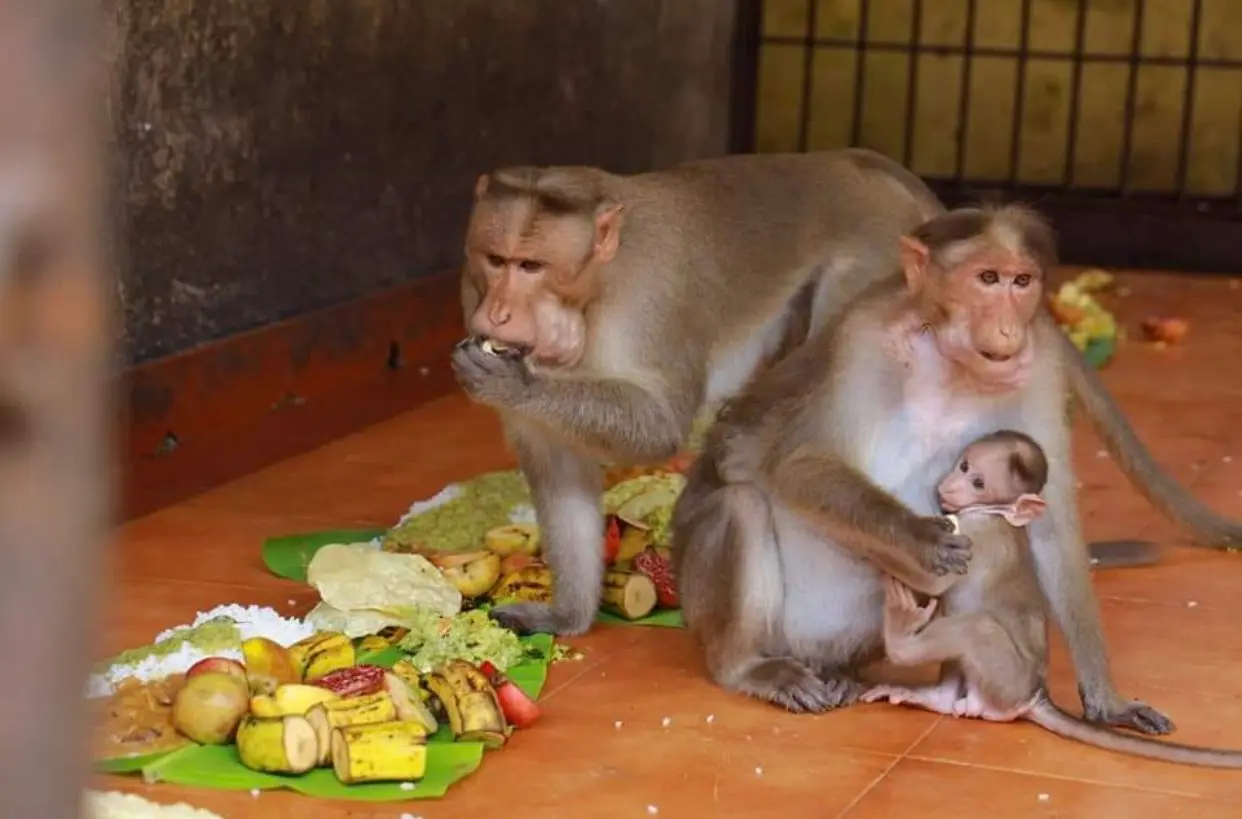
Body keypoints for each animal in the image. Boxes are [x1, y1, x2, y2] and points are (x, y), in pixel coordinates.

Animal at [669, 202, 1228, 737]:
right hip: (716, 609)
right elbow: (799, 463)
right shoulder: (862, 337)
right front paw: (917, 536)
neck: (949, 360)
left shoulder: (1042, 361)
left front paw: (1108, 701)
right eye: (987, 278)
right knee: (740, 504)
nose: (1007, 328)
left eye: (1021, 282)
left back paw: (842, 675)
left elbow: (1051, 523)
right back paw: (747, 667)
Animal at [862, 430, 1242, 769]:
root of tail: (1035, 694)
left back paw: (901, 636)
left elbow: (934, 580)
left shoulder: (973, 534)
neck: (993, 512)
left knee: (980, 628)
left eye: (979, 483)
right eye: (964, 465)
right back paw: (937, 696)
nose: (950, 485)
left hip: (1007, 680)